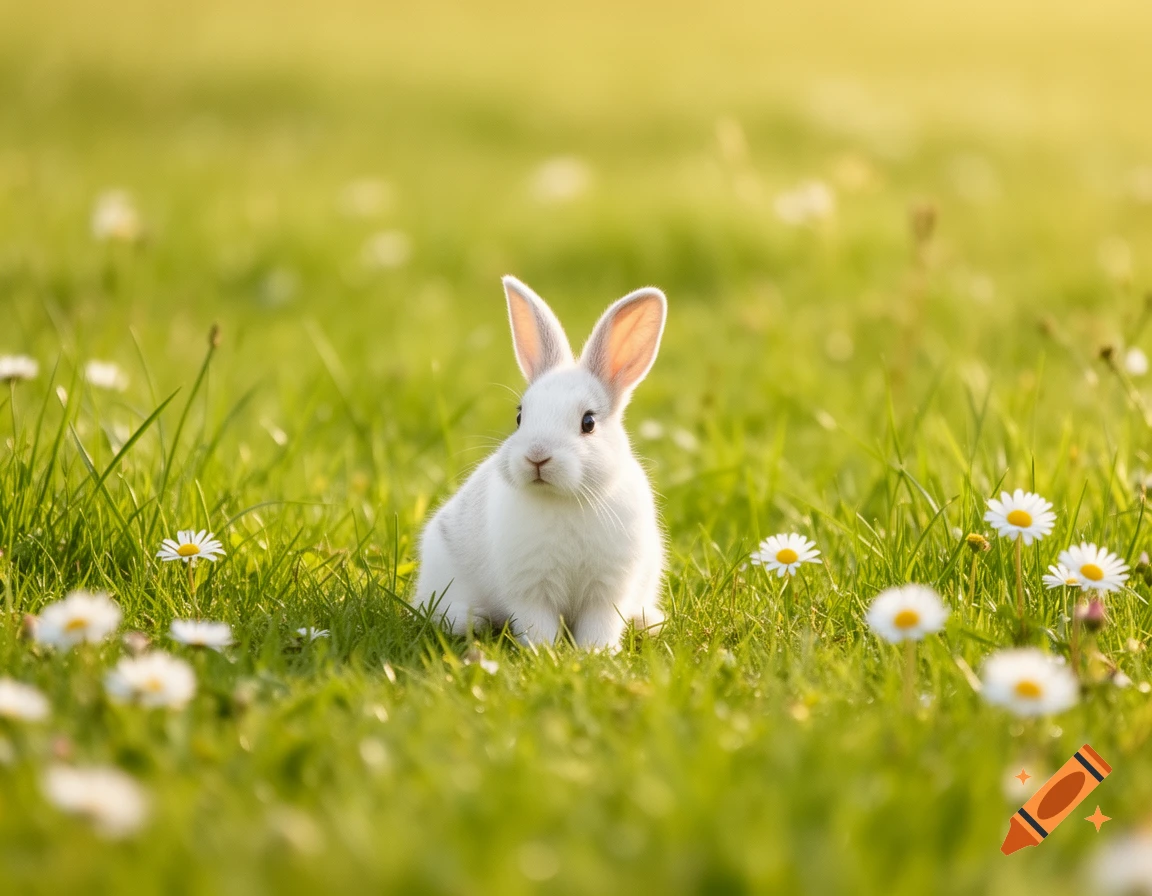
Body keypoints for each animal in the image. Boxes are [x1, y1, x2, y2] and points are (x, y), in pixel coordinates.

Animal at [412, 275, 667, 649]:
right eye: (520, 416)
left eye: (588, 422)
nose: (536, 456)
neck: (565, 500)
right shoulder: (531, 590)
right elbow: (538, 622)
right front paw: (543, 652)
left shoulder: (607, 590)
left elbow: (600, 624)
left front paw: (596, 653)